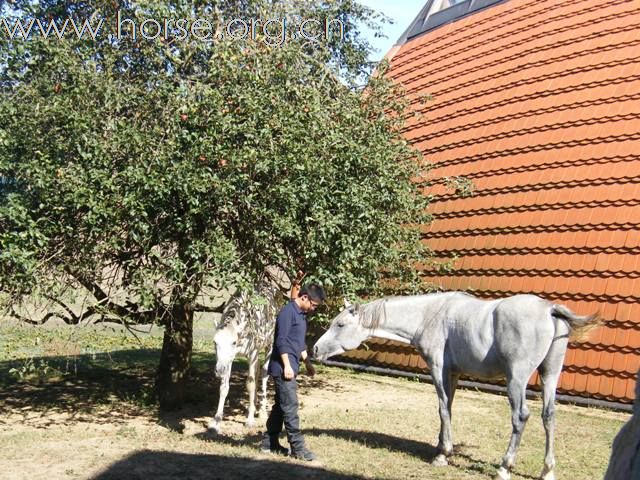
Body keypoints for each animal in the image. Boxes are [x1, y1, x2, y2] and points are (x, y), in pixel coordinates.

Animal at [314, 290, 600, 480]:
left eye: (340, 324)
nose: (315, 349)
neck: (429, 314)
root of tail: (549, 309)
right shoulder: (453, 374)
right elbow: (448, 408)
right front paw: (441, 449)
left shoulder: (438, 370)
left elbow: (443, 409)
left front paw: (443, 455)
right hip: (550, 374)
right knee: (548, 416)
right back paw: (547, 471)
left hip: (516, 379)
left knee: (521, 416)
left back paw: (504, 467)